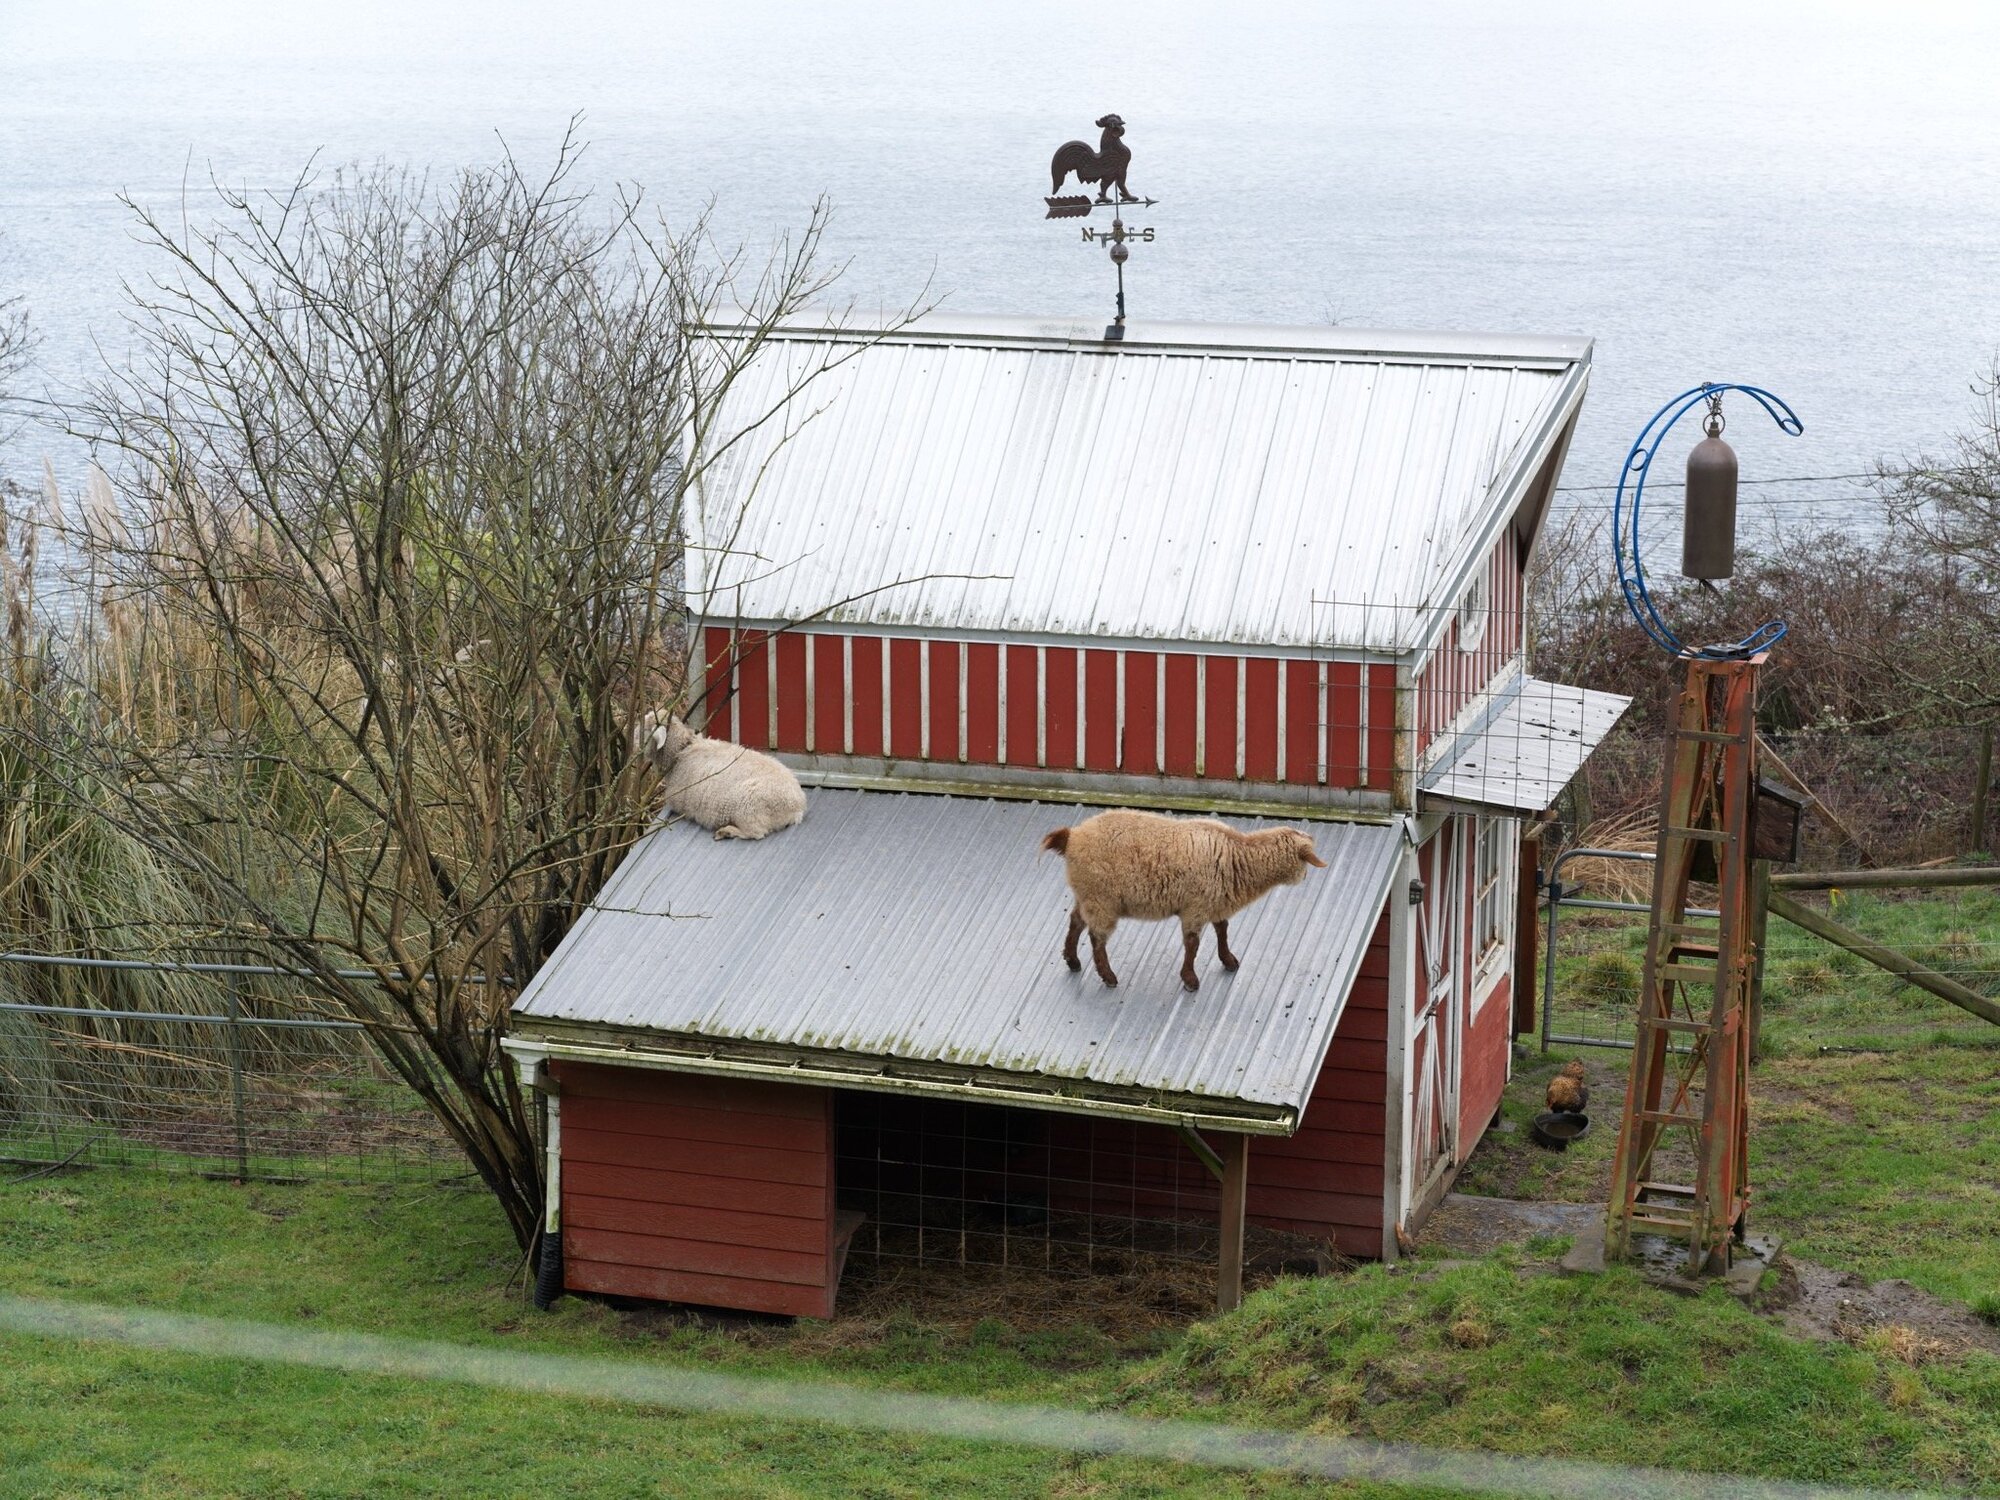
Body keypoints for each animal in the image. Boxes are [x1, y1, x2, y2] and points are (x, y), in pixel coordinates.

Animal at [635, 710, 806, 841]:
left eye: (646, 730)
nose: (635, 742)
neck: (680, 752)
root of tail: (797, 805)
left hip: (749, 810)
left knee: (756, 833)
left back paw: (727, 832)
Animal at [1040, 809, 1327, 992]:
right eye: (1305, 860)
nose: (1305, 877)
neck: (1238, 855)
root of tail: (1072, 836)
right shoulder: (1195, 908)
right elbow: (1193, 944)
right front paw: (1190, 979)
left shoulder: (1215, 903)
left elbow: (1222, 930)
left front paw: (1228, 960)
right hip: (1102, 898)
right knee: (1096, 938)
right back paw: (1108, 976)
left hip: (1086, 893)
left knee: (1076, 921)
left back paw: (1072, 960)